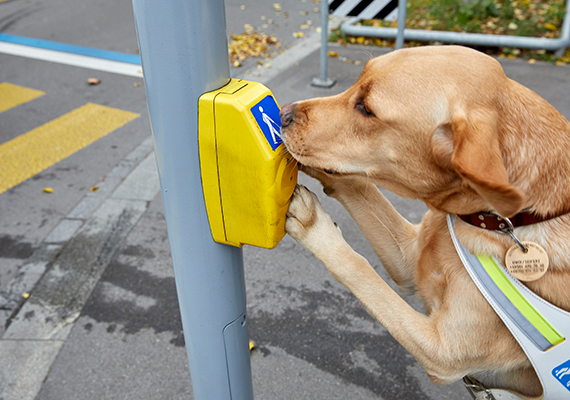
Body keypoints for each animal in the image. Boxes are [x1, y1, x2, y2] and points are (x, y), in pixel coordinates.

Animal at [278, 45, 568, 398]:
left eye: (366, 109)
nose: (283, 113)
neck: (497, 220)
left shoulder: (443, 352)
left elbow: (359, 268)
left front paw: (312, 224)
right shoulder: (408, 258)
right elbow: (361, 187)